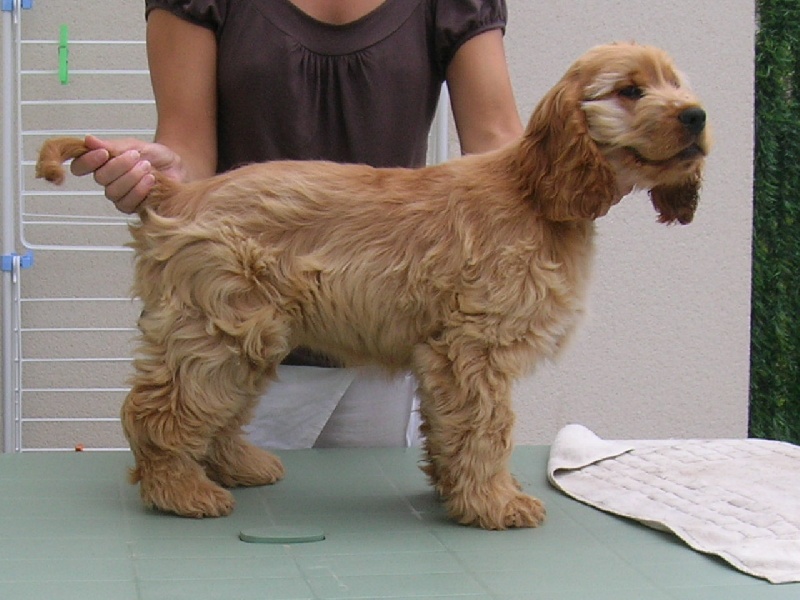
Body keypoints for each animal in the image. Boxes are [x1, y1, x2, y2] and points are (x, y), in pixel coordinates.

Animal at [36, 42, 710, 530]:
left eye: (678, 84)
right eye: (630, 90)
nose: (697, 115)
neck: (536, 189)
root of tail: (181, 192)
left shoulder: (445, 355)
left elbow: (451, 428)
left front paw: (456, 491)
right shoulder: (475, 348)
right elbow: (487, 429)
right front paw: (496, 503)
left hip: (247, 332)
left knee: (216, 409)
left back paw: (235, 466)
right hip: (218, 326)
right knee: (155, 410)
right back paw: (180, 492)